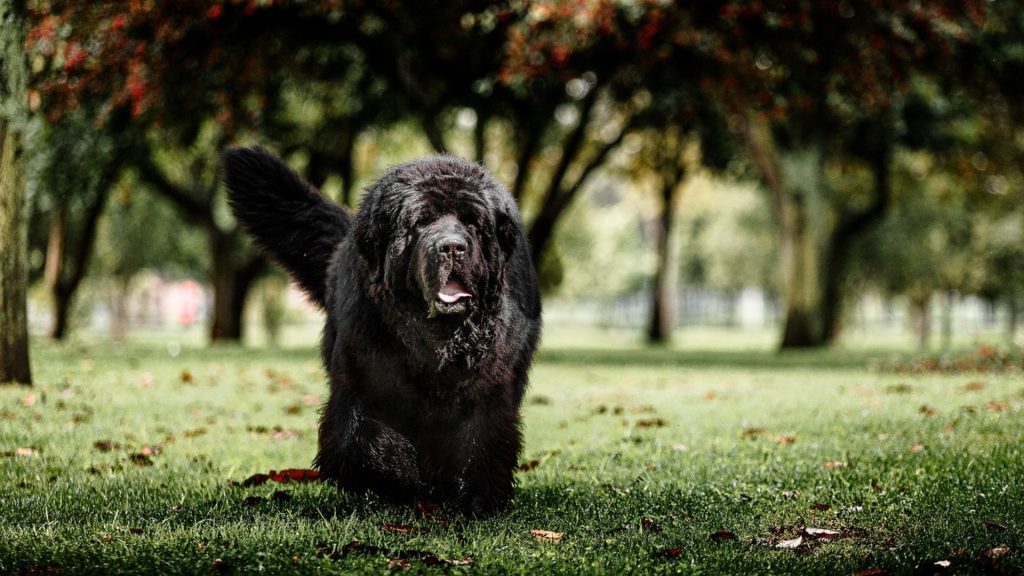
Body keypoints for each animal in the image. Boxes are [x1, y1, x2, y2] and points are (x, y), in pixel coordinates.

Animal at [224, 147, 544, 516]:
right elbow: (363, 438)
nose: (451, 247)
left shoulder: (488, 386)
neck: (437, 339)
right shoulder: (361, 379)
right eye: (420, 222)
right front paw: (399, 475)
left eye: (472, 223)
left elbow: (482, 440)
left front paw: (476, 498)